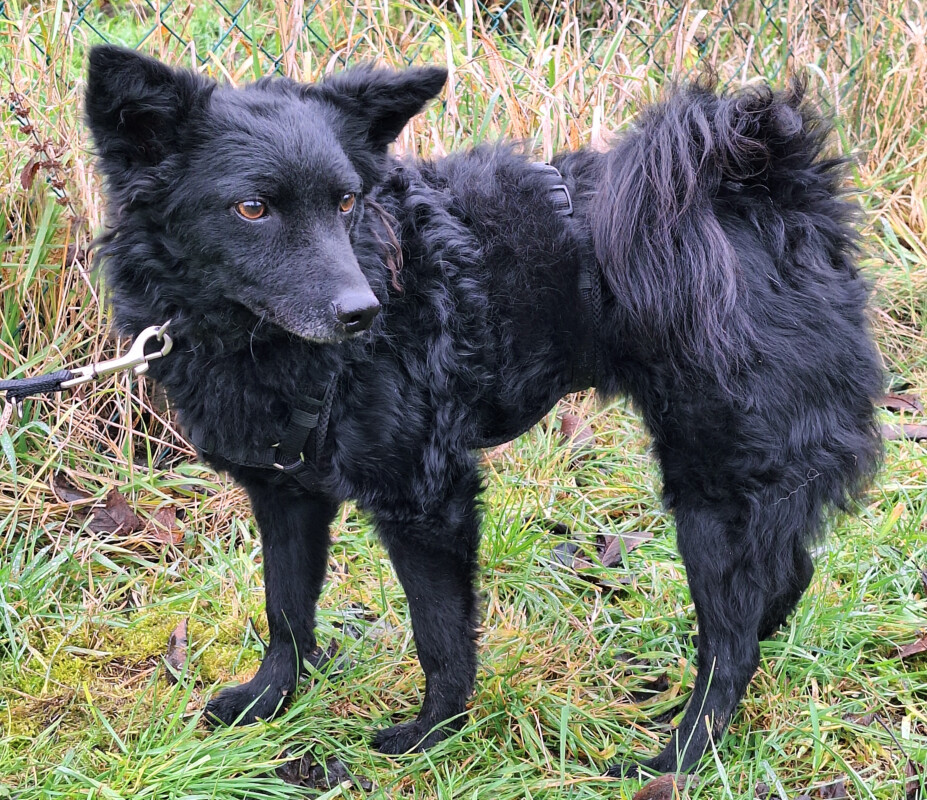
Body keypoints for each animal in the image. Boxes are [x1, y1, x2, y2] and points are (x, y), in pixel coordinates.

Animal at [84, 44, 881, 776]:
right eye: (251, 208)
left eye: (345, 202)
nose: (361, 313)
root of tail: (764, 180)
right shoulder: (284, 493)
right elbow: (285, 610)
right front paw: (269, 702)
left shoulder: (429, 499)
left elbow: (439, 636)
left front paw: (432, 737)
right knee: (781, 581)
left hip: (712, 486)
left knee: (731, 643)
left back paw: (678, 757)